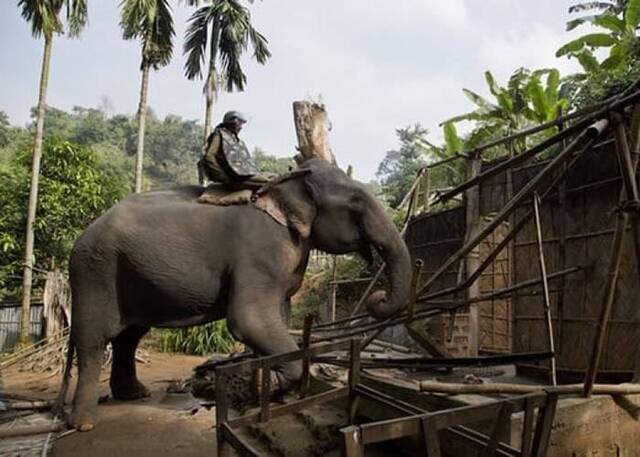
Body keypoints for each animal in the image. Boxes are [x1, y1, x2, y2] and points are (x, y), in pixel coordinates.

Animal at [65, 159, 410, 430]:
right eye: (355, 202)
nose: (377, 298)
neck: (288, 182)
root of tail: (82, 235)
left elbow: (277, 318)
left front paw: (266, 392)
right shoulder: (260, 251)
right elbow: (249, 320)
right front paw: (272, 388)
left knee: (129, 336)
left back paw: (134, 394)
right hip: (95, 270)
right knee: (94, 339)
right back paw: (83, 424)